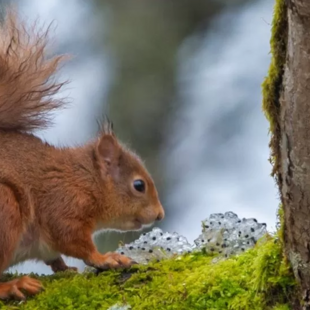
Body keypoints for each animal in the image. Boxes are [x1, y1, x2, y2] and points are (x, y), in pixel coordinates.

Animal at [0, 9, 165, 300]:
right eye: (139, 185)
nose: (160, 215)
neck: (85, 179)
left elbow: (54, 256)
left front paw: (64, 268)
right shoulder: (63, 205)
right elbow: (73, 241)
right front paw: (105, 258)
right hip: (5, 208)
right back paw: (13, 286)